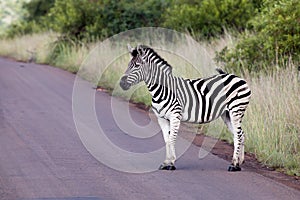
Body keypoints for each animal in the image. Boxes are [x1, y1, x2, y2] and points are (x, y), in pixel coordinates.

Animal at [119, 44, 251, 171]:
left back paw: (234, 165)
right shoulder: (161, 118)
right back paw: (239, 162)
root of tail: (237, 77)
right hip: (226, 114)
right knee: (240, 134)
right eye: (128, 65)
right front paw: (166, 162)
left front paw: (171, 164)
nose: (121, 83)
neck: (162, 90)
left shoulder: (175, 116)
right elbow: (167, 140)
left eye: (137, 65)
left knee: (238, 135)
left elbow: (172, 139)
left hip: (236, 110)